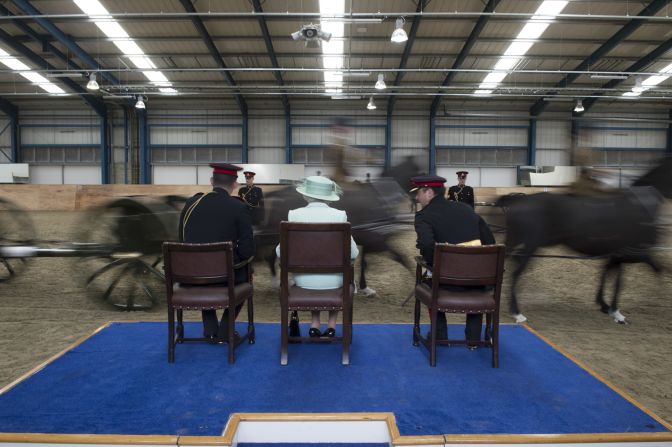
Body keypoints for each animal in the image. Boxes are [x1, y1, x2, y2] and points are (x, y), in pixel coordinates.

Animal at [496, 158, 668, 326]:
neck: (638, 207)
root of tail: (520, 200)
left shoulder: (616, 255)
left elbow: (610, 276)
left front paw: (607, 307)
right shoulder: (632, 253)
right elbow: (649, 271)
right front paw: (618, 311)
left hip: (516, 241)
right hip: (530, 246)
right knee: (516, 272)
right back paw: (517, 313)